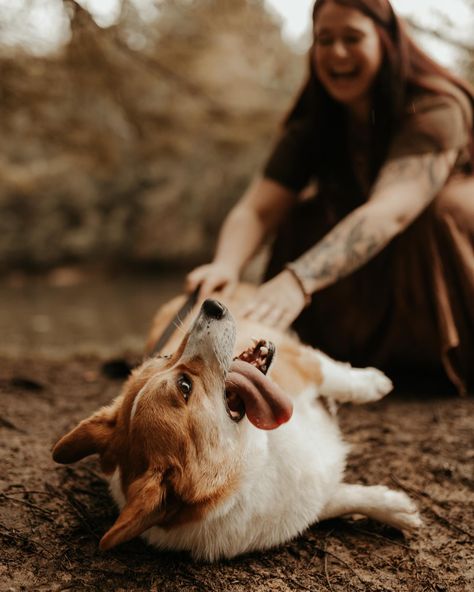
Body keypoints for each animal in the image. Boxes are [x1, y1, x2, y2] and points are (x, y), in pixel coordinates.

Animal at [52, 284, 422, 560]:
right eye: (184, 387)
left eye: (164, 357)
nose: (211, 306)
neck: (256, 457)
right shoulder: (308, 501)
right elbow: (341, 499)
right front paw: (399, 510)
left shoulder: (297, 367)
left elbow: (330, 373)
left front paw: (373, 383)